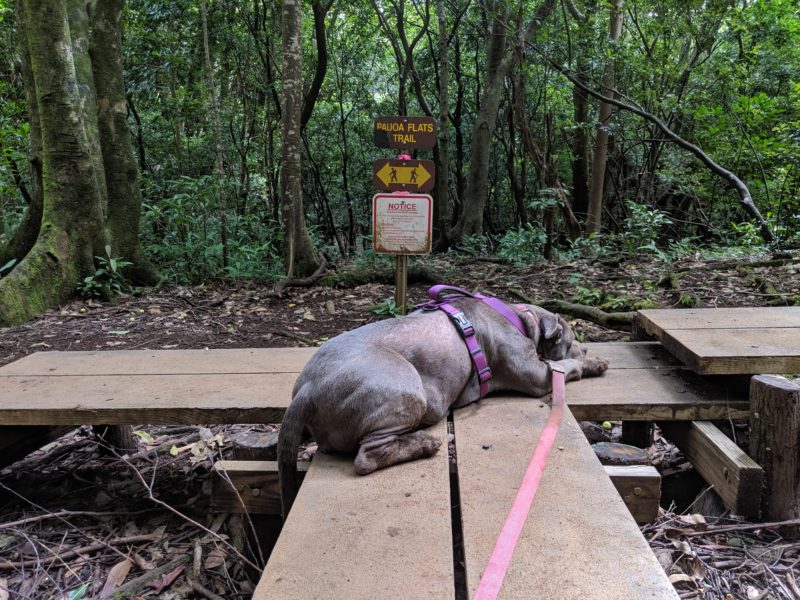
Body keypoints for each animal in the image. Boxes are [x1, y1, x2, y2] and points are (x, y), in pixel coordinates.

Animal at [278, 290, 608, 516]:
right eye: (572, 337)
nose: (586, 346)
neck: (521, 318)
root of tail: (307, 389)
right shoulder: (536, 373)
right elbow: (565, 366)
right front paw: (594, 362)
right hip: (406, 388)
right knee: (367, 456)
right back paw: (424, 443)